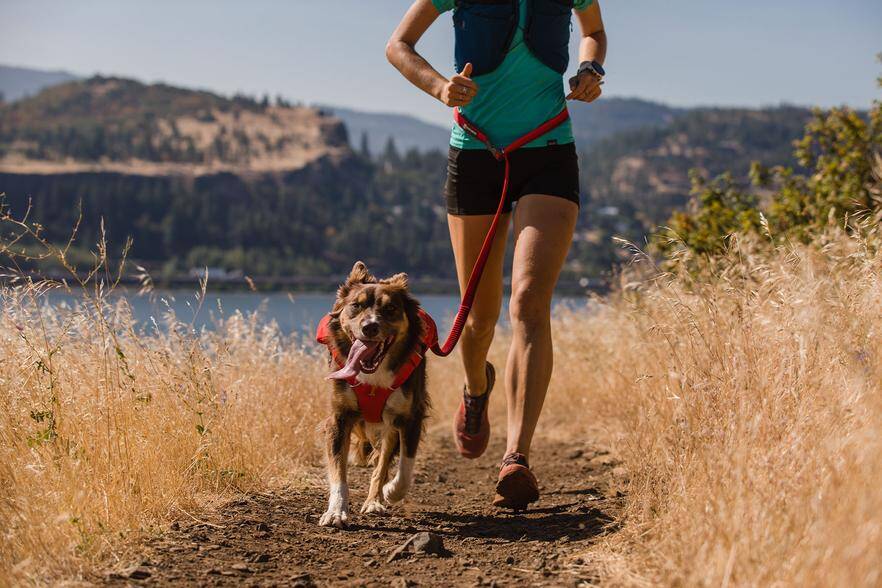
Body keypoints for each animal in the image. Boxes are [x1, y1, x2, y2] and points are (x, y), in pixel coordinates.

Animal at [314, 262, 432, 528]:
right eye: (356, 306)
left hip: (389, 427)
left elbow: (404, 467)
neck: (373, 375)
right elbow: (338, 472)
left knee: (383, 463)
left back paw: (375, 500)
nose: (369, 327)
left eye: (390, 308)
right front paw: (336, 511)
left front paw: (391, 492)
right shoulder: (339, 418)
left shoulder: (410, 417)